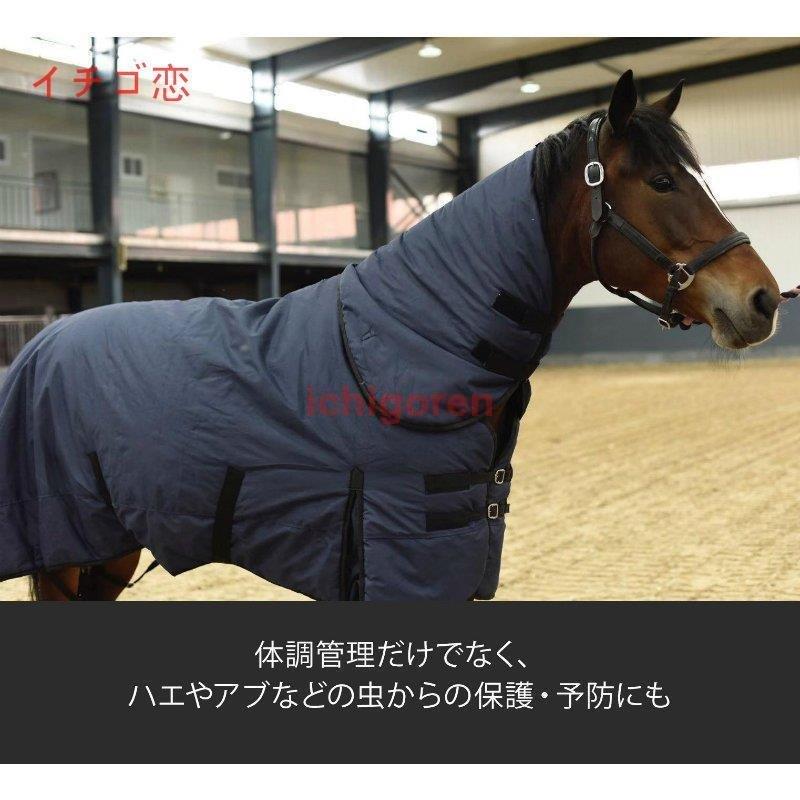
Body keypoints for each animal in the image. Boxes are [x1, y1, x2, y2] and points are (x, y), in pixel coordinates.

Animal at [1, 69, 782, 601]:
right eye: (661, 182)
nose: (765, 299)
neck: (416, 337)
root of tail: (40, 343)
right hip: (69, 554)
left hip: (107, 553)